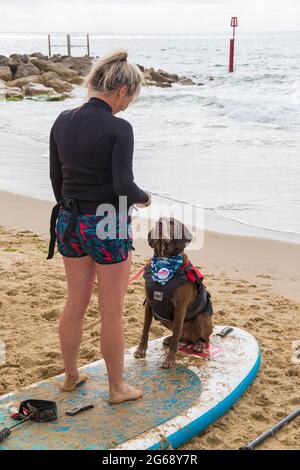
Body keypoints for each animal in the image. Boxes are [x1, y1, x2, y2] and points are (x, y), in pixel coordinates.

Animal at [134, 218, 213, 370]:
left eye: (171, 222)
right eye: (159, 220)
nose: (159, 224)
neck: (164, 262)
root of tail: (190, 338)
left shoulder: (180, 308)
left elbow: (176, 337)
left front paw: (170, 360)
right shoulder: (150, 304)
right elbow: (145, 330)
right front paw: (141, 350)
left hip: (202, 317)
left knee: (204, 338)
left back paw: (199, 345)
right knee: (180, 336)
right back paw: (169, 339)